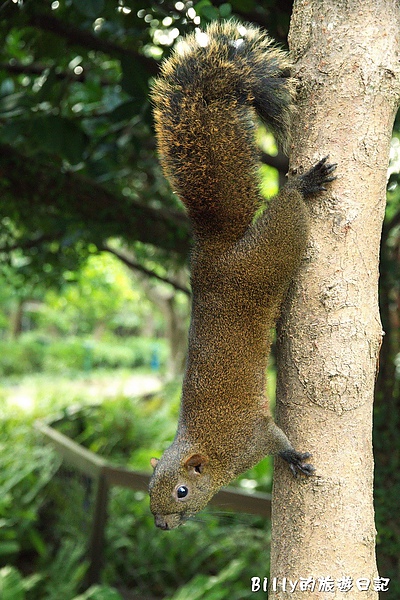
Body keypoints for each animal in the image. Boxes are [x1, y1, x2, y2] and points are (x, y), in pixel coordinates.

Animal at [148, 19, 336, 528]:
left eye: (182, 491)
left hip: (269, 256)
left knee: (287, 213)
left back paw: (302, 184)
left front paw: (292, 457)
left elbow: (277, 439)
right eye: (149, 493)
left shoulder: (251, 435)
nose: (162, 525)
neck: (212, 452)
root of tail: (214, 252)